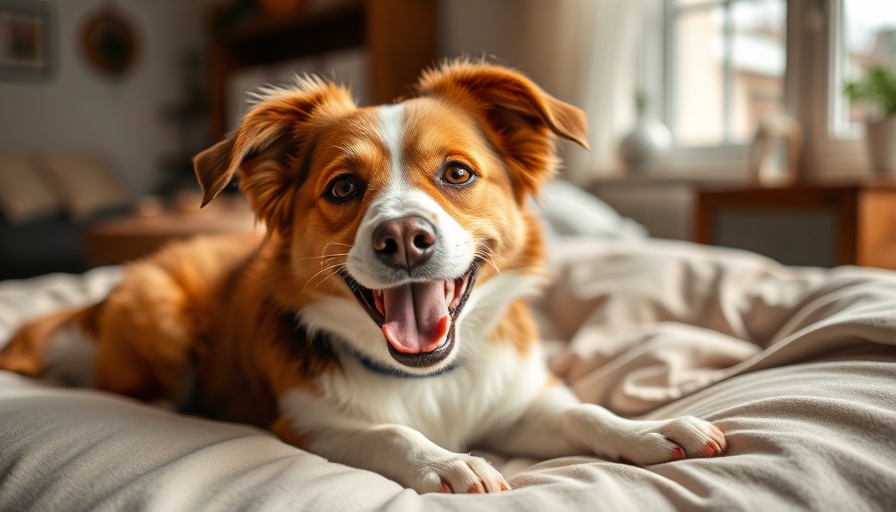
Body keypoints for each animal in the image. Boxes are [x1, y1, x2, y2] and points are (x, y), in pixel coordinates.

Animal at [0, 61, 724, 496]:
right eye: (343, 187)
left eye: (457, 173)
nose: (403, 237)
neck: (429, 380)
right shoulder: (306, 425)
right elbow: (389, 432)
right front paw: (447, 461)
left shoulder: (517, 403)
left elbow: (582, 411)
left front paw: (649, 431)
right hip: (163, 322)